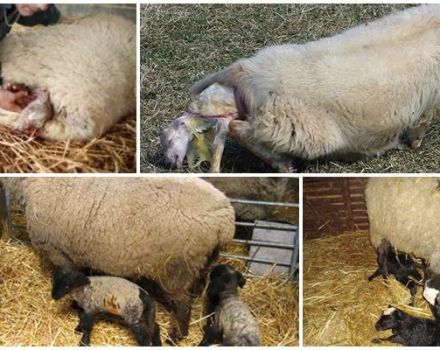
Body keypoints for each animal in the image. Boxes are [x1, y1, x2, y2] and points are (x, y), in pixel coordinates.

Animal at [1, 179, 235, 344]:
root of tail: (226, 220)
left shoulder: (60, 253)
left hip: (176, 267)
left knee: (182, 304)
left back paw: (177, 335)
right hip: (201, 263)